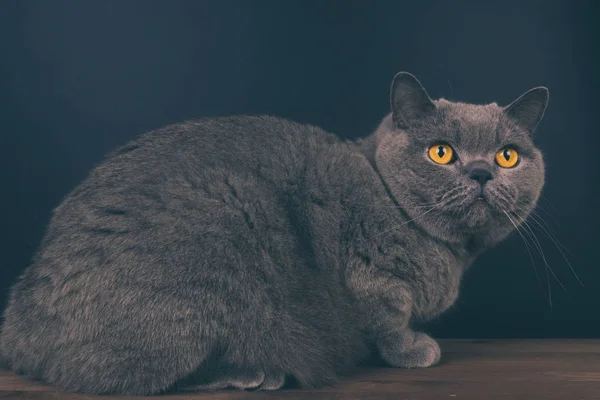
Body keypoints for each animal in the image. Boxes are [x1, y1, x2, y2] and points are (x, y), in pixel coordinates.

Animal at [1, 72, 548, 394]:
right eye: (440, 152)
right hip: (211, 255)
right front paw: (414, 350)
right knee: (129, 377)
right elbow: (388, 322)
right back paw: (256, 373)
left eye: (507, 155)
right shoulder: (371, 278)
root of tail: (17, 323)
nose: (481, 172)